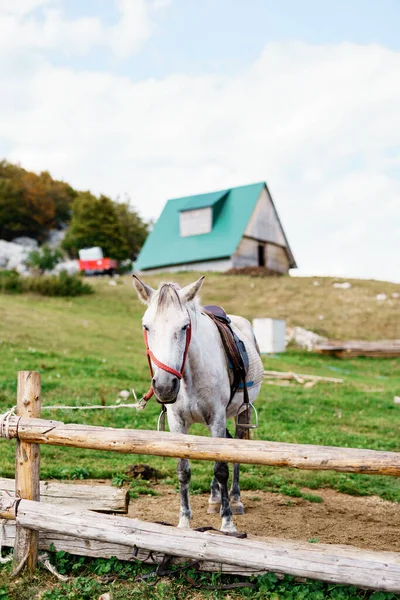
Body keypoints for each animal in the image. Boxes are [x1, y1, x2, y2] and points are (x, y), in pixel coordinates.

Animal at [134, 274, 262, 532]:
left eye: (184, 326)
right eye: (146, 326)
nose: (164, 386)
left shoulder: (217, 418)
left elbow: (221, 467)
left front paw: (228, 523)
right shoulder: (178, 423)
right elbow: (183, 470)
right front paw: (184, 522)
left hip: (240, 413)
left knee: (236, 449)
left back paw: (235, 499)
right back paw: (214, 498)